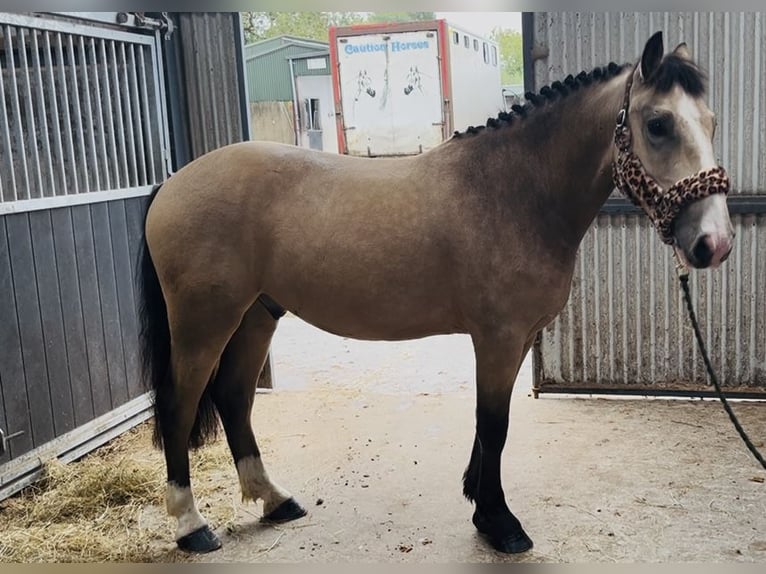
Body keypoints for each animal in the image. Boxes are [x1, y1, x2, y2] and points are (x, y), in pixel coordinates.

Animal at [137, 31, 734, 554]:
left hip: (257, 315)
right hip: (203, 323)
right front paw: (501, 523)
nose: (715, 243)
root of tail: (172, 183)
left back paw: (274, 499)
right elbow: (494, 426)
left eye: (710, 122)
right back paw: (191, 526)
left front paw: (480, 504)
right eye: (657, 123)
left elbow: (487, 427)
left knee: (234, 397)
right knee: (179, 403)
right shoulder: (497, 339)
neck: (514, 191)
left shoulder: (514, 340)